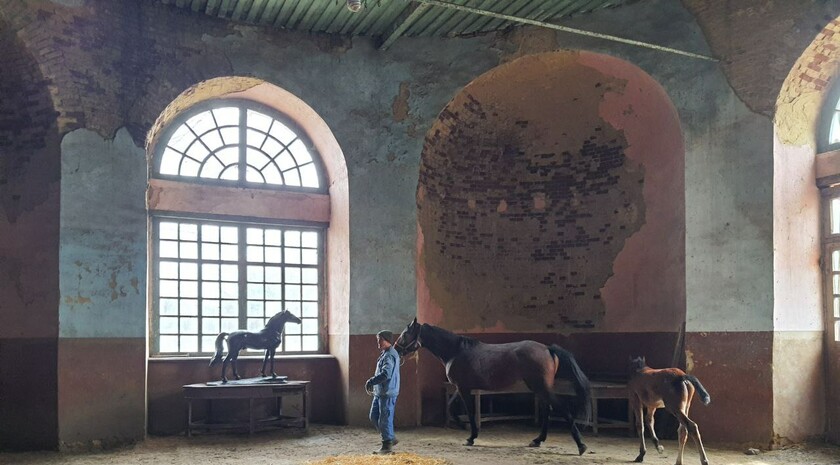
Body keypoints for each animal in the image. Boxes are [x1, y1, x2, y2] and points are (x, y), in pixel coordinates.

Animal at [394, 318, 592, 452]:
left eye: (404, 334)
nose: (395, 349)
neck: (456, 351)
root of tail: (548, 348)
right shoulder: (462, 387)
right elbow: (452, 407)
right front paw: (462, 426)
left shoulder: (464, 388)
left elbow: (469, 412)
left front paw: (471, 437)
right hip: (539, 388)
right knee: (548, 410)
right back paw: (537, 440)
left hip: (541, 387)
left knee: (562, 409)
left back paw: (581, 445)